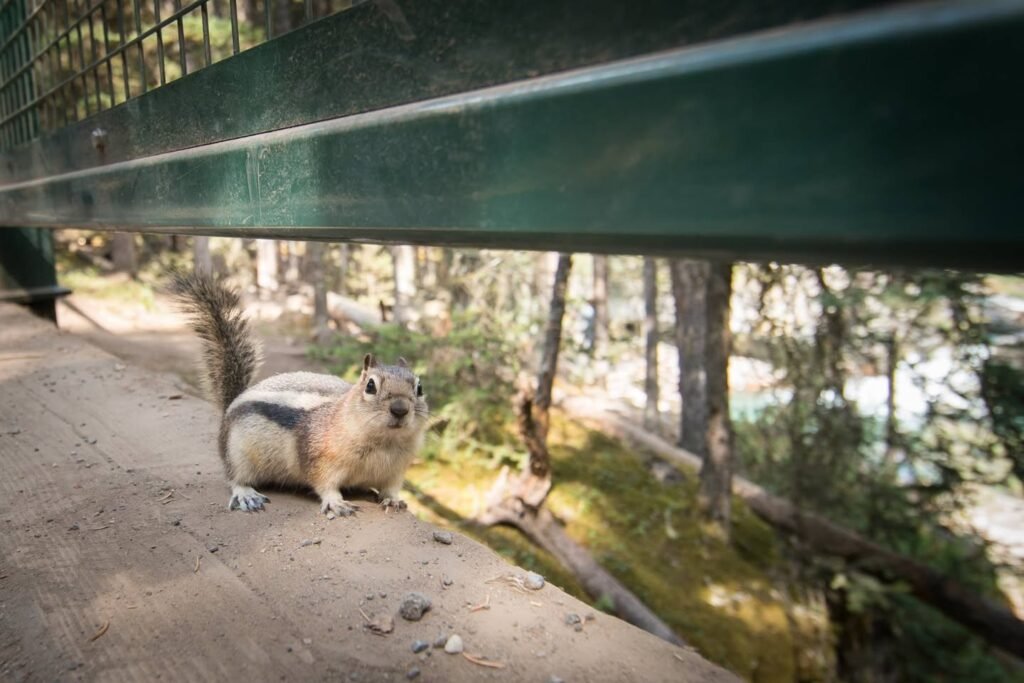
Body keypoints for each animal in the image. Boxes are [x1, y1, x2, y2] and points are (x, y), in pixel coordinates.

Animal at [170, 271, 428, 517]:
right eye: (371, 386)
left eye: (419, 388)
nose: (400, 409)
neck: (385, 443)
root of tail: (232, 403)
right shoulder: (319, 458)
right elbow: (324, 484)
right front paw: (336, 502)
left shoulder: (395, 471)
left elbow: (391, 488)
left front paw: (393, 500)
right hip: (237, 452)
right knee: (235, 477)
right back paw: (246, 494)